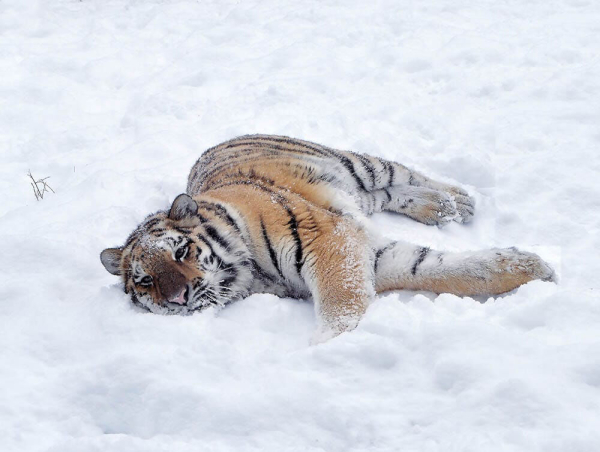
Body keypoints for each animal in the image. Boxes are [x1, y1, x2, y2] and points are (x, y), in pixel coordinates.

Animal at [101, 134, 556, 340]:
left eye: (180, 251)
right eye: (145, 280)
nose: (178, 299)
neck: (250, 276)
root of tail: (221, 140)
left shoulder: (329, 238)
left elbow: (340, 301)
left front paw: (327, 346)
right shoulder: (371, 253)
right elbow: (442, 268)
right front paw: (535, 268)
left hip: (359, 165)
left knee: (403, 173)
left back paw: (458, 200)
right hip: (363, 195)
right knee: (390, 194)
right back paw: (442, 208)